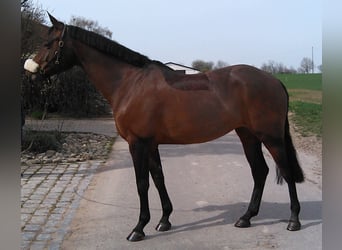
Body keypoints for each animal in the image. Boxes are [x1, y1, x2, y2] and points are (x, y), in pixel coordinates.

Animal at [24, 14, 304, 242]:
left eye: (49, 43)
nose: (31, 71)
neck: (129, 83)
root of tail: (274, 80)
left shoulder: (137, 143)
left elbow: (142, 184)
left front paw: (138, 228)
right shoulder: (151, 144)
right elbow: (158, 178)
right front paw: (164, 220)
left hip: (271, 137)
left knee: (286, 170)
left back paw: (294, 221)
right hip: (247, 135)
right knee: (260, 171)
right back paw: (246, 218)